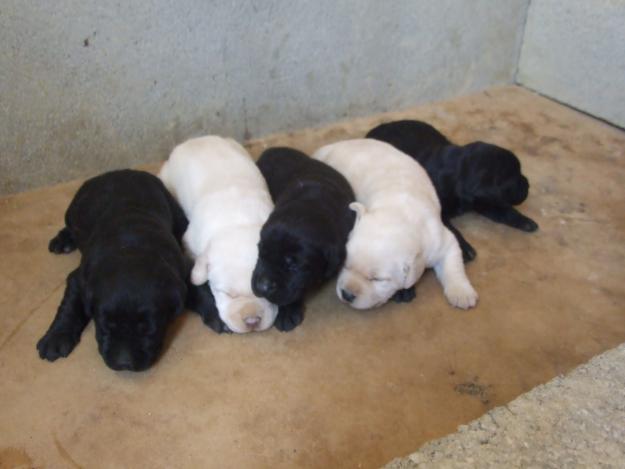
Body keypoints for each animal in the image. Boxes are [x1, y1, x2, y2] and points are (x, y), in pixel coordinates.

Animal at [36, 168, 188, 370]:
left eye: (149, 329)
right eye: (104, 326)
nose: (124, 363)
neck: (131, 248)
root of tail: (119, 171)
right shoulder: (80, 278)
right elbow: (68, 306)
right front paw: (55, 338)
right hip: (71, 211)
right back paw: (63, 241)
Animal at [158, 135, 278, 332]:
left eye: (265, 293)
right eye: (227, 294)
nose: (252, 321)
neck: (239, 223)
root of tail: (196, 139)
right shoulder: (190, 243)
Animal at [312, 138, 478, 310]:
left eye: (377, 279)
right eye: (344, 265)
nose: (347, 294)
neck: (398, 213)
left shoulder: (440, 241)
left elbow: (453, 264)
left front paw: (461, 293)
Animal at [366, 119, 536, 262]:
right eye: (514, 179)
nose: (528, 185)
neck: (459, 174)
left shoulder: (484, 200)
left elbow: (504, 210)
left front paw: (526, 221)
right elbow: (451, 229)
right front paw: (465, 249)